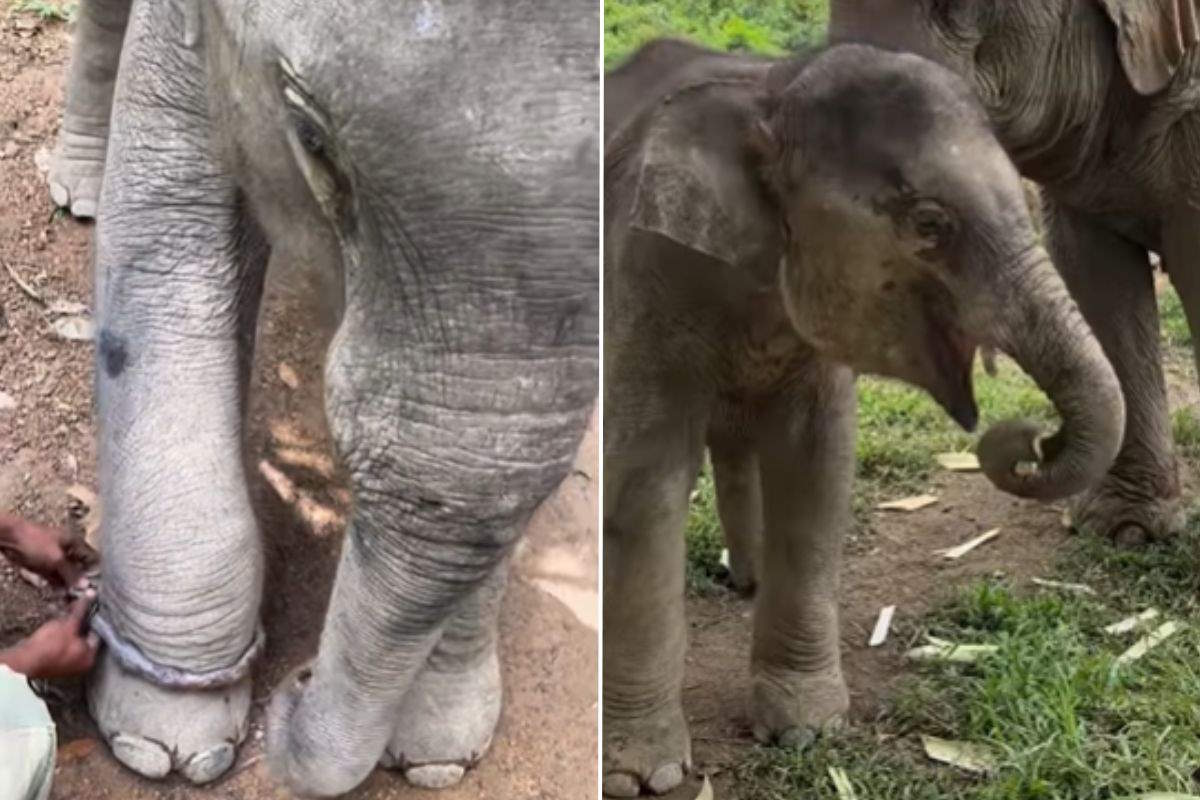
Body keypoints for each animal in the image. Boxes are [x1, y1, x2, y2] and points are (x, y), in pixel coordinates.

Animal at [52, 0, 600, 796]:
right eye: (312, 138)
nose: (297, 682)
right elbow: (164, 231)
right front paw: (163, 743)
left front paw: (437, 756)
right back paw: (81, 190)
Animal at [604, 40, 1128, 796]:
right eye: (930, 226)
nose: (1033, 437)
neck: (771, 90)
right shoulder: (646, 275)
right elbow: (644, 483)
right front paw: (644, 776)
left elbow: (817, 467)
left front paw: (806, 732)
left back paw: (747, 581)